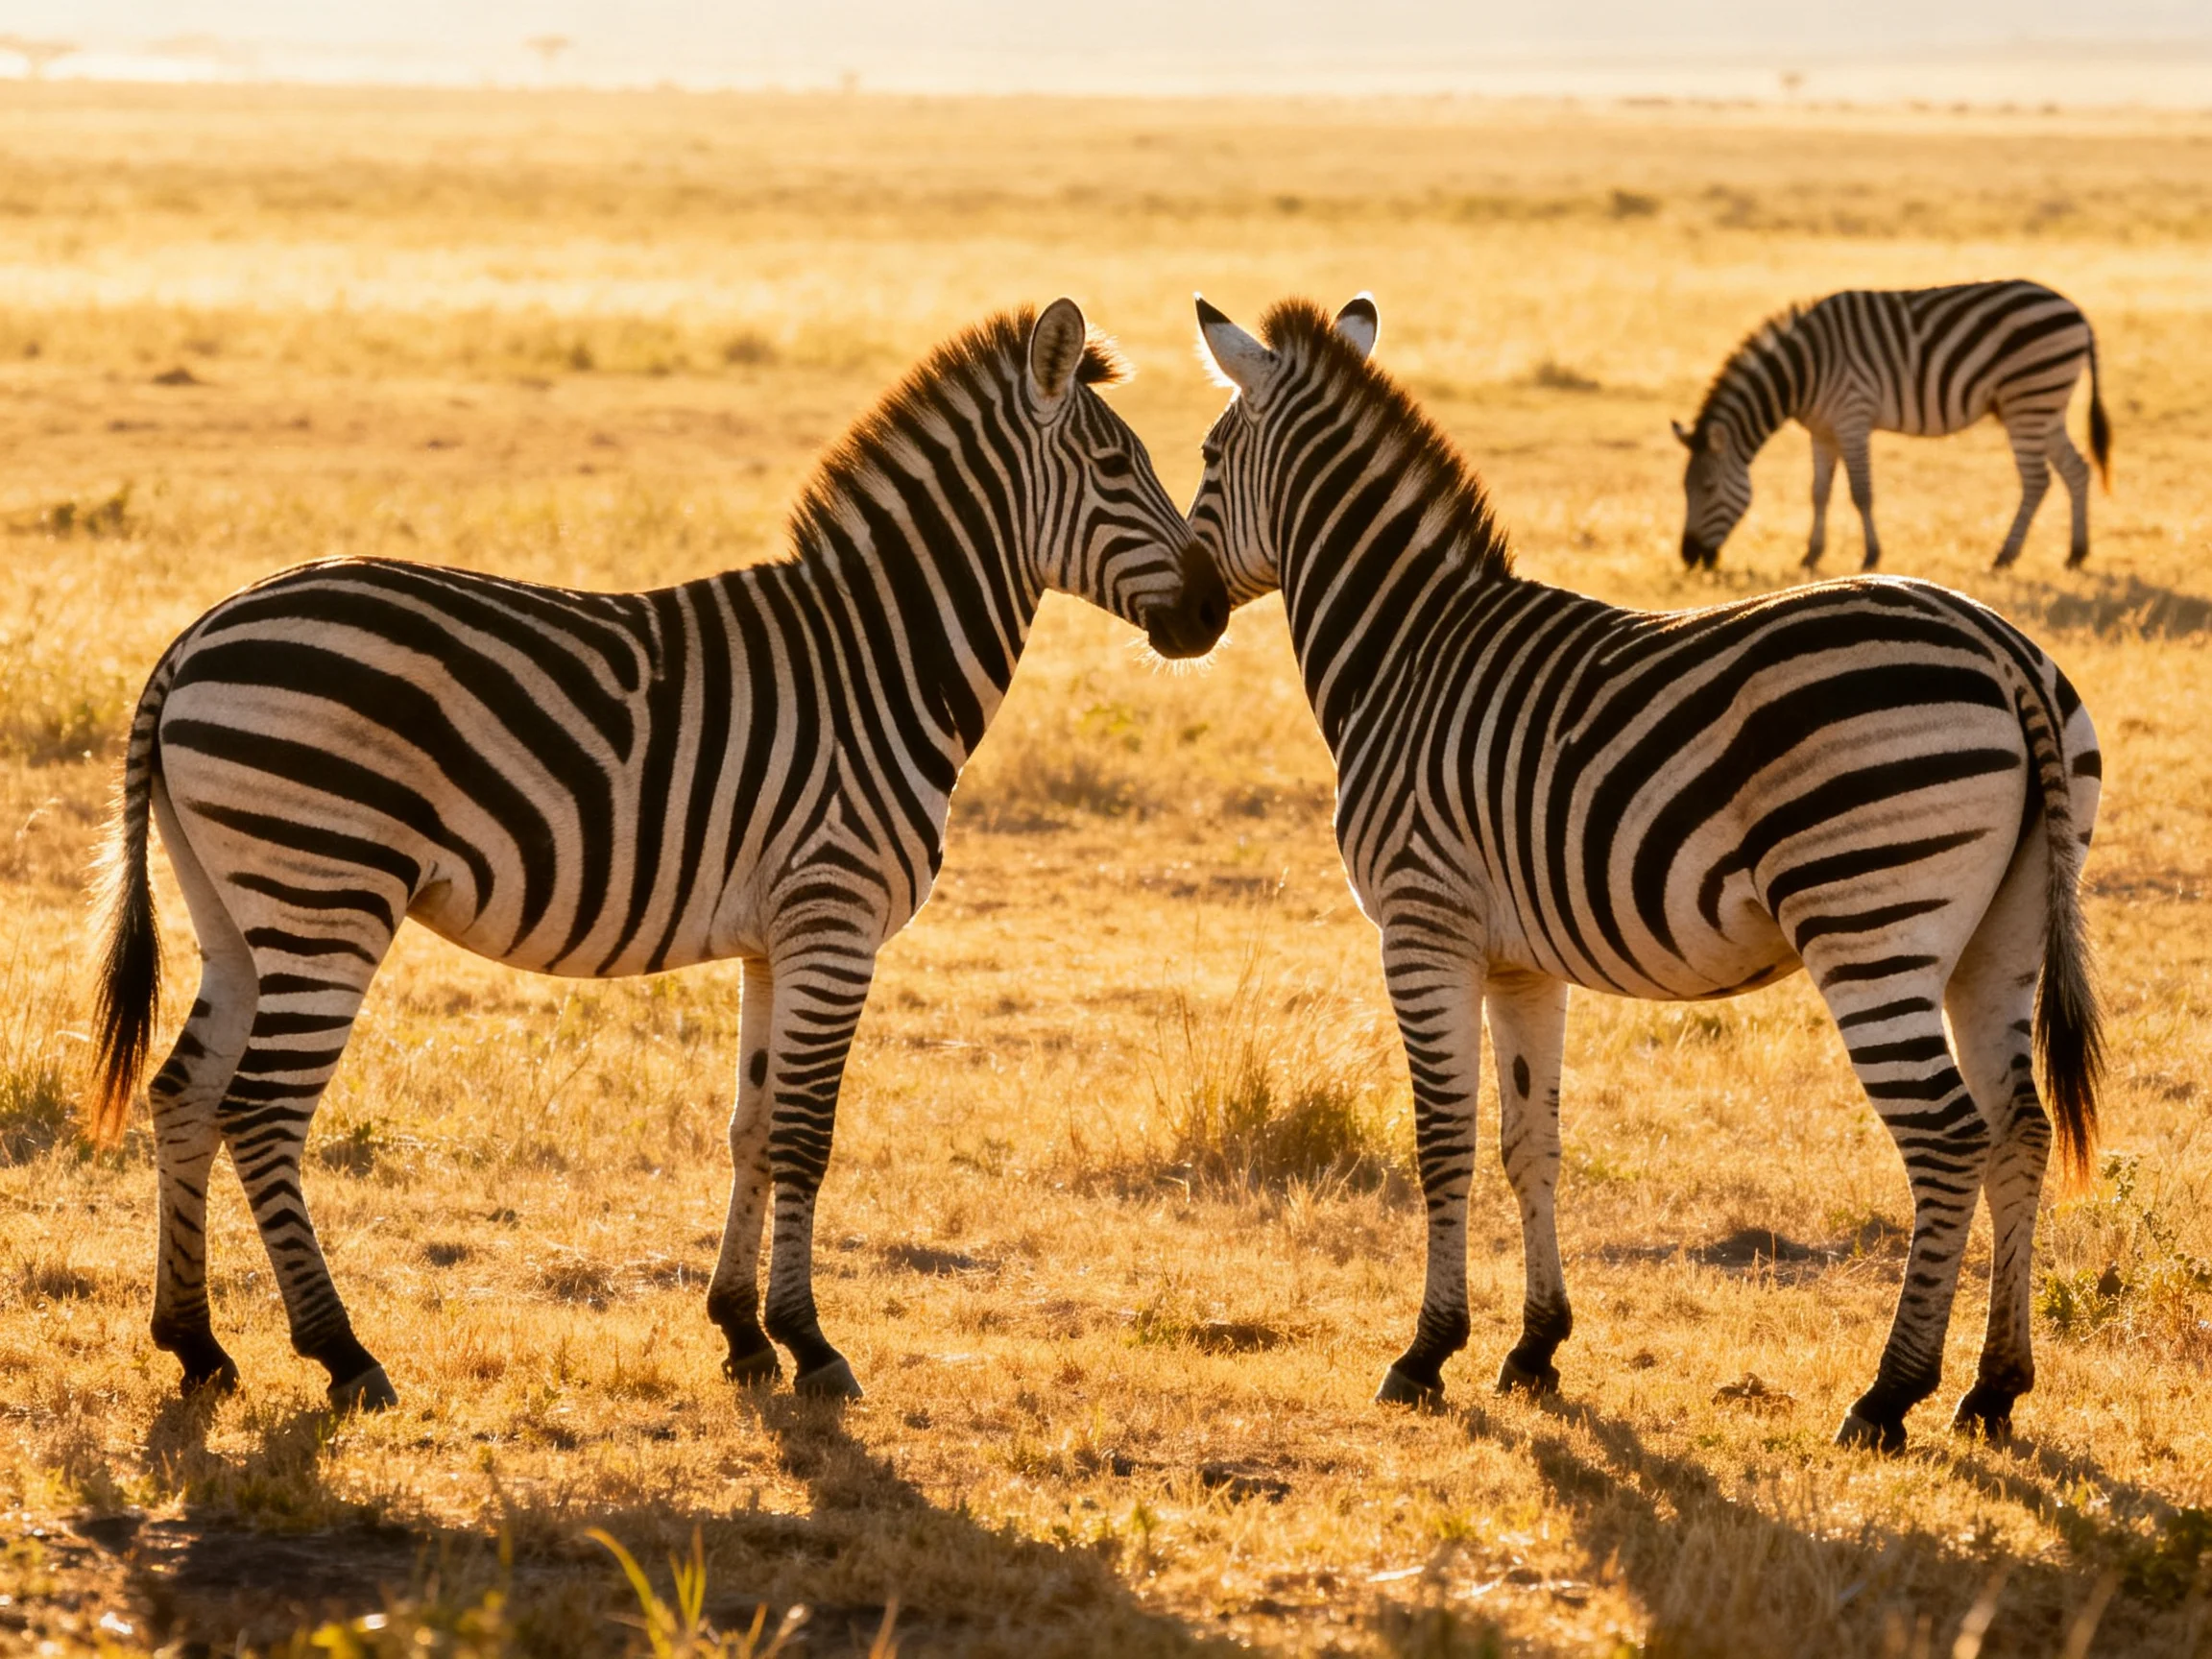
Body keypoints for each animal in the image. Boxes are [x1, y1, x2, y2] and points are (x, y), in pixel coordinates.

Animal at [88, 299, 1229, 1411]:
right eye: (1118, 467)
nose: (1213, 613)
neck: (879, 660)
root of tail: (194, 637)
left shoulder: (777, 938)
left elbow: (753, 1126)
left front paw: (741, 1333)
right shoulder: (836, 917)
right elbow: (806, 1135)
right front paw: (812, 1345)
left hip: (239, 912)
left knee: (183, 1093)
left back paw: (196, 1345)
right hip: (327, 891)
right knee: (261, 1111)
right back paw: (343, 1355)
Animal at [1674, 280, 2111, 572]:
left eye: (1708, 488)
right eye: (1685, 489)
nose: (1689, 557)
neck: (1804, 371)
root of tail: (2076, 310)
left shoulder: (1852, 417)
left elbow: (1860, 493)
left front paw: (1870, 556)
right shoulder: (1822, 430)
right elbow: (1818, 493)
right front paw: (1811, 555)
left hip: (2029, 399)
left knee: (2037, 481)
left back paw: (2004, 556)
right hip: (2044, 404)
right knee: (2076, 469)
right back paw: (2076, 553)